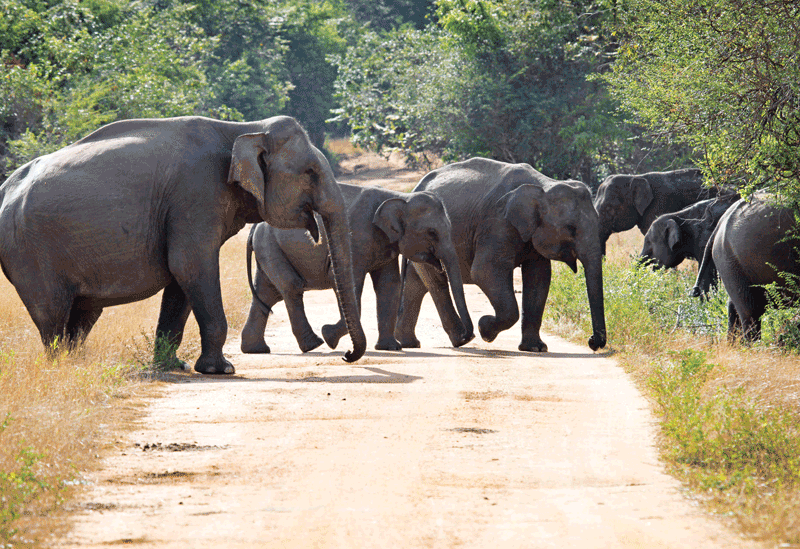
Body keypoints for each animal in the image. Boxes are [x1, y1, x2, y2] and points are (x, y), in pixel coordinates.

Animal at [0, 115, 368, 372]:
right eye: (309, 173)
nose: (346, 354)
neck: (244, 130)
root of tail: (5, 188)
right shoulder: (194, 195)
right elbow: (190, 265)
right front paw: (222, 370)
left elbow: (181, 277)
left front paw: (172, 367)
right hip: (29, 251)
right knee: (52, 314)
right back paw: (60, 368)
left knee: (83, 313)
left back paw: (77, 365)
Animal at [241, 182, 472, 354]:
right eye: (432, 232)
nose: (465, 337)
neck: (400, 197)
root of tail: (255, 227)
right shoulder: (356, 237)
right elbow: (349, 283)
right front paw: (329, 336)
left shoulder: (386, 243)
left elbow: (389, 286)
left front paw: (391, 348)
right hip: (271, 247)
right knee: (291, 287)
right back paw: (314, 344)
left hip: (269, 249)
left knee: (267, 293)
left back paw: (256, 350)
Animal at [394, 157, 608, 356]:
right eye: (571, 229)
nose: (592, 342)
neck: (544, 185)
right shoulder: (497, 222)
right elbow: (485, 271)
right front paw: (485, 329)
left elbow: (539, 277)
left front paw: (535, 348)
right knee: (437, 283)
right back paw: (461, 340)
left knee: (416, 282)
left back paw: (409, 343)